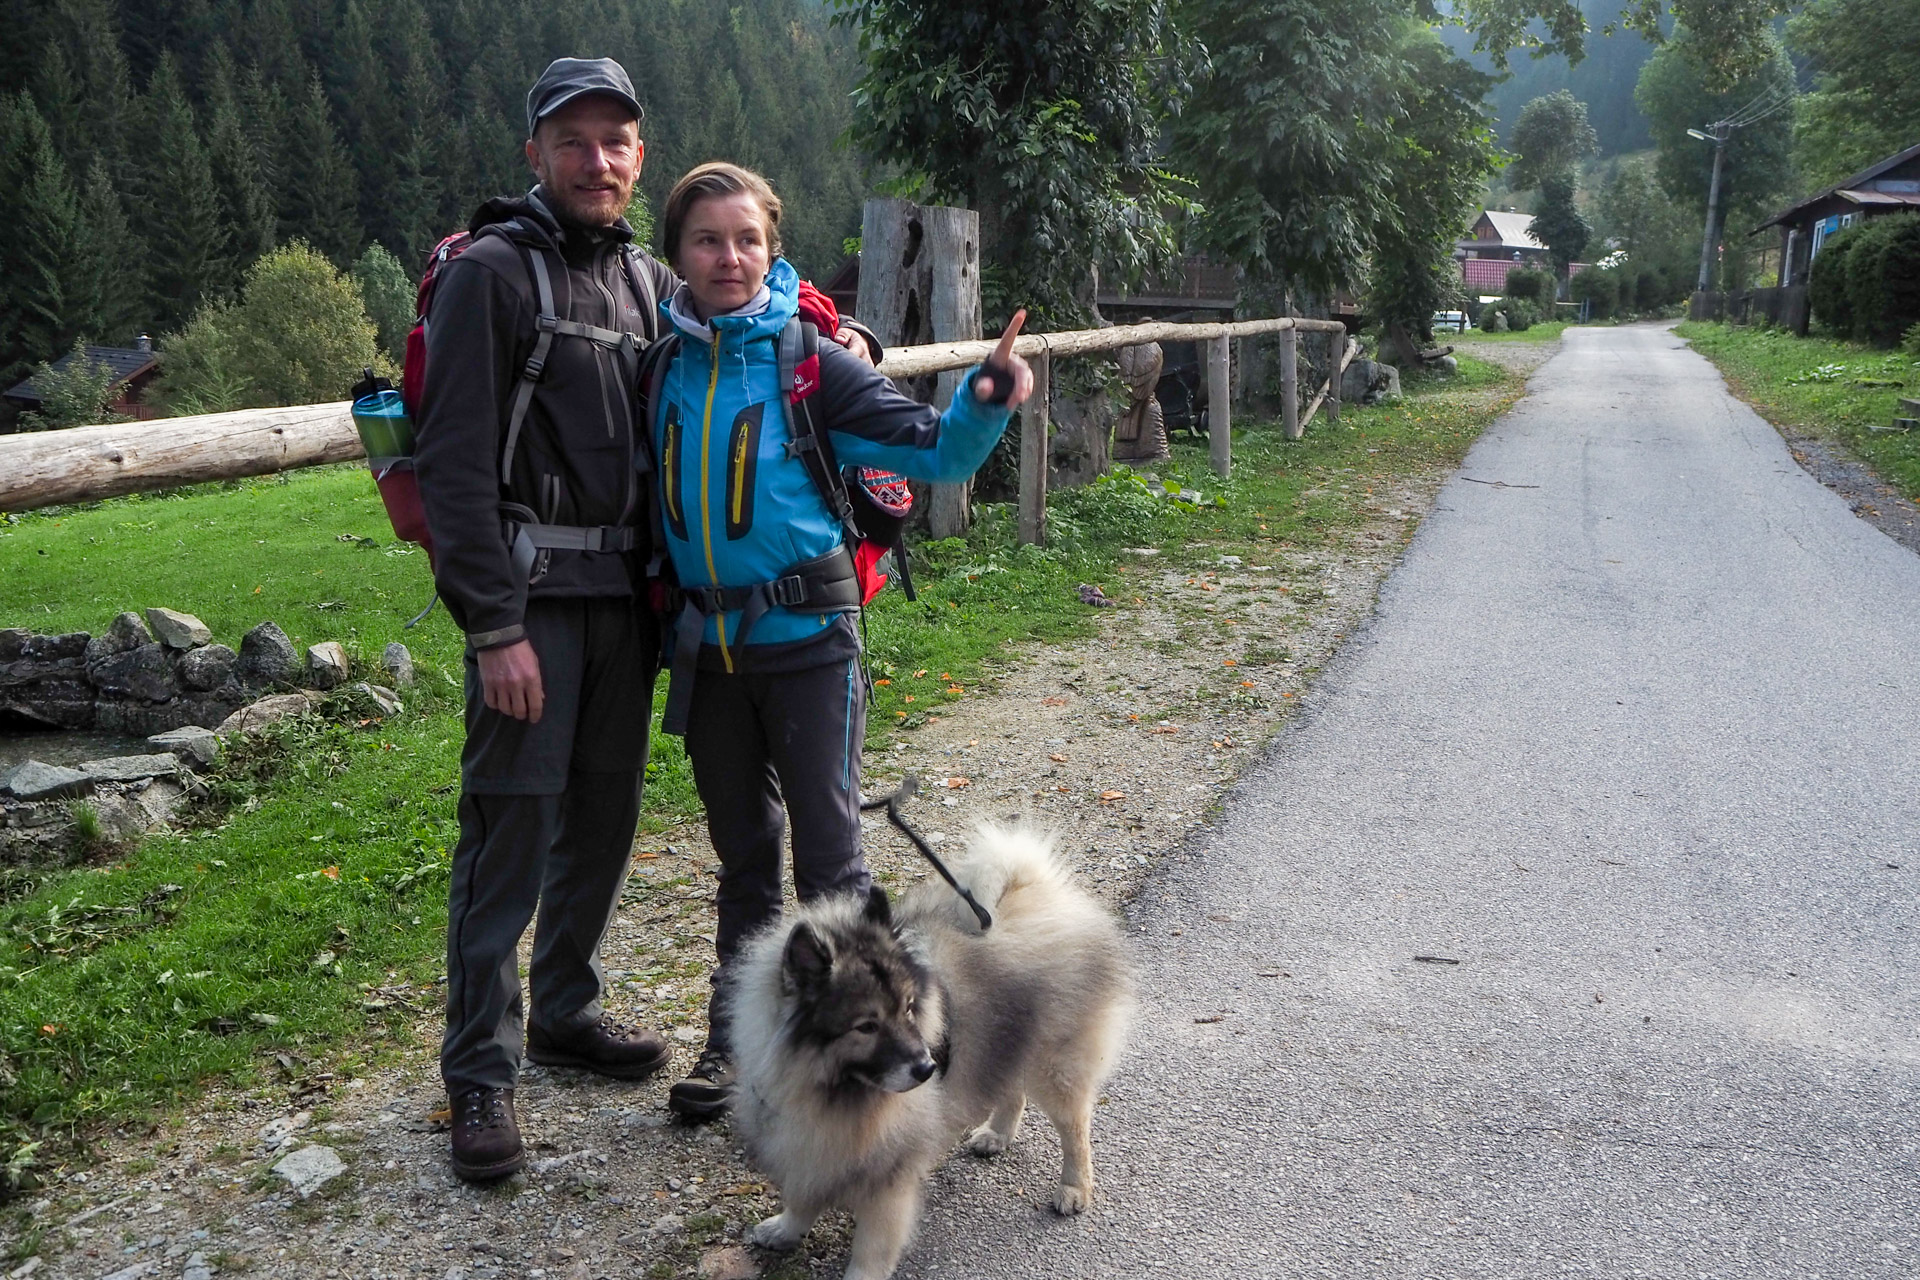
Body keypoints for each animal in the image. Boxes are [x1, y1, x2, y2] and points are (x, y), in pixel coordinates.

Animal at [725, 825, 1128, 1274]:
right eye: (867, 1026)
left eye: (908, 1008)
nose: (928, 1068)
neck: (831, 1088)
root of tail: (1039, 889)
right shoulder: (806, 1143)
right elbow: (801, 1196)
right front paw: (787, 1229)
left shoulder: (888, 1177)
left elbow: (871, 1245)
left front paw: (859, 1273)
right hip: (1004, 1040)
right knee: (1012, 1089)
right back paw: (997, 1134)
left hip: (1052, 1064)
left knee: (1074, 1128)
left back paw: (1074, 1187)